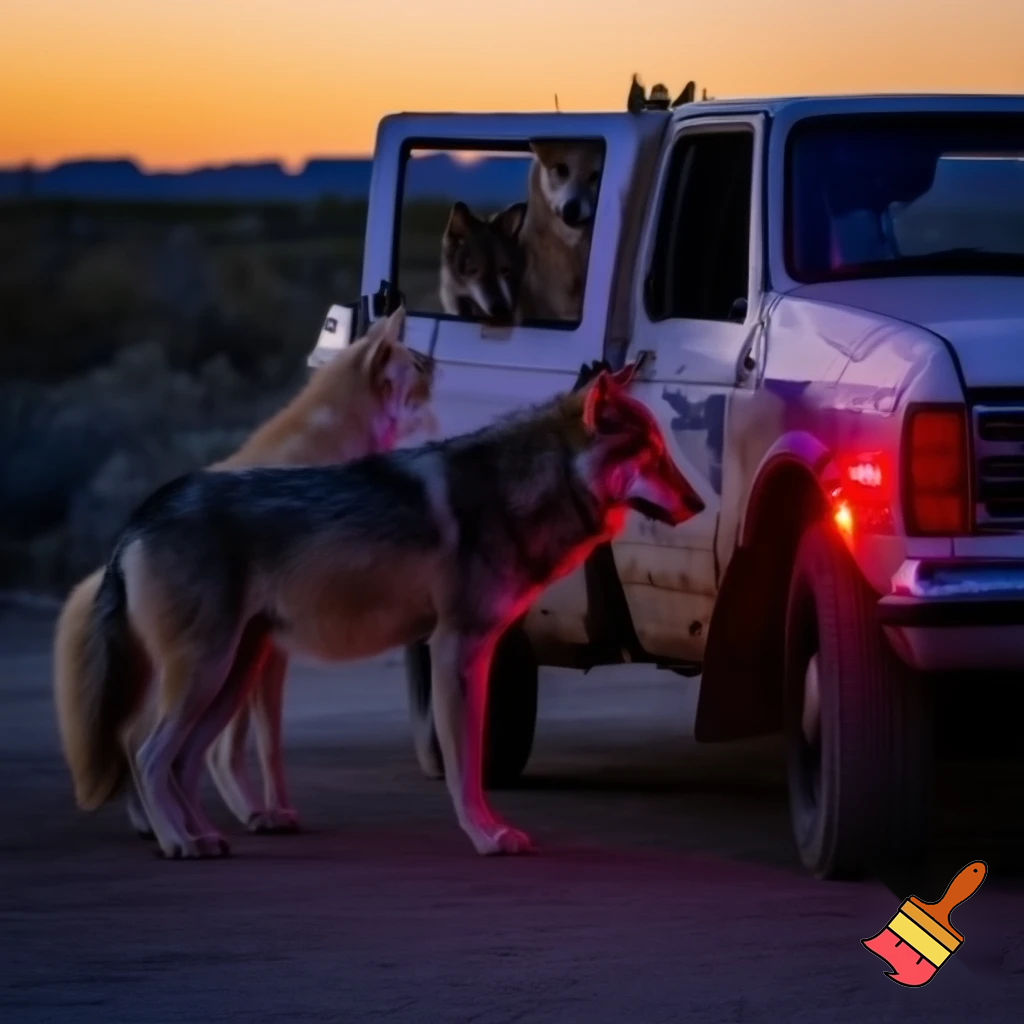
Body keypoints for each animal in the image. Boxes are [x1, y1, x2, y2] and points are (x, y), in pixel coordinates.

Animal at [53, 306, 436, 838]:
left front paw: (254, 810)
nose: (437, 368)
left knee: (135, 737)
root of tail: (121, 542)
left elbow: (232, 748)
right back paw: (170, 825)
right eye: (416, 365)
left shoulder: (259, 650)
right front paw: (270, 810)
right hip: (201, 663)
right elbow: (258, 745)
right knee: (138, 739)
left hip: (202, 663)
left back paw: (161, 822)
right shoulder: (270, 653)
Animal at [57, 369, 702, 860]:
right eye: (652, 456)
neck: (519, 491)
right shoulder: (456, 648)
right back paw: (178, 842)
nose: (698, 504)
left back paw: (206, 835)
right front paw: (486, 835)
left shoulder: (475, 651)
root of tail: (139, 514)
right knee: (144, 750)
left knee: (186, 760)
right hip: (206, 674)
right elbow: (465, 766)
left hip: (230, 676)